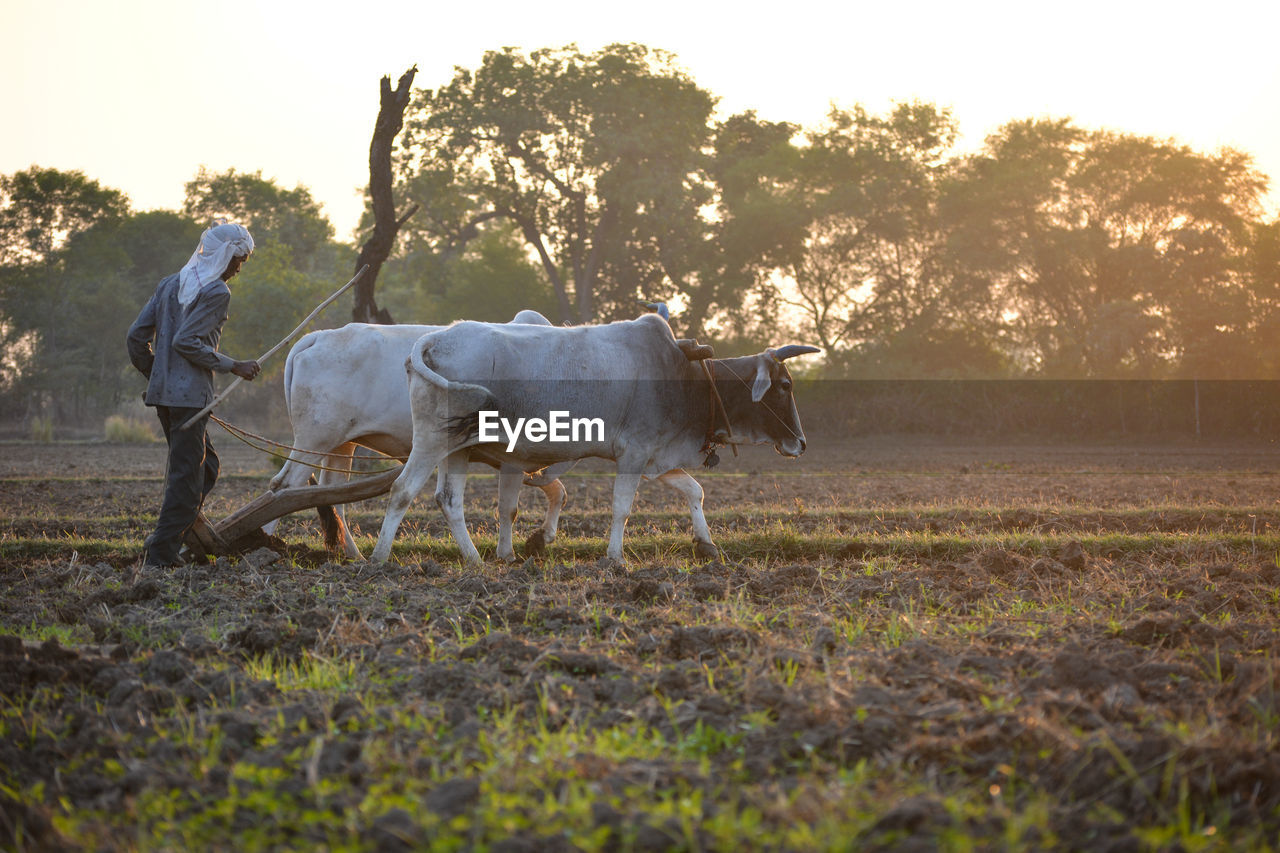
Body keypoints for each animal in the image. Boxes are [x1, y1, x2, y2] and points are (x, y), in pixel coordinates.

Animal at [368, 312, 819, 563]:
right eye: (784, 385)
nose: (801, 443)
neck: (687, 377)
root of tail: (434, 338)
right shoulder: (635, 453)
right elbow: (621, 508)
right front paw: (616, 558)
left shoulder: (655, 456)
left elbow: (694, 491)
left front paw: (706, 545)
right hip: (430, 443)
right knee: (402, 491)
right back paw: (378, 559)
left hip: (456, 448)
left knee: (449, 501)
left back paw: (475, 560)